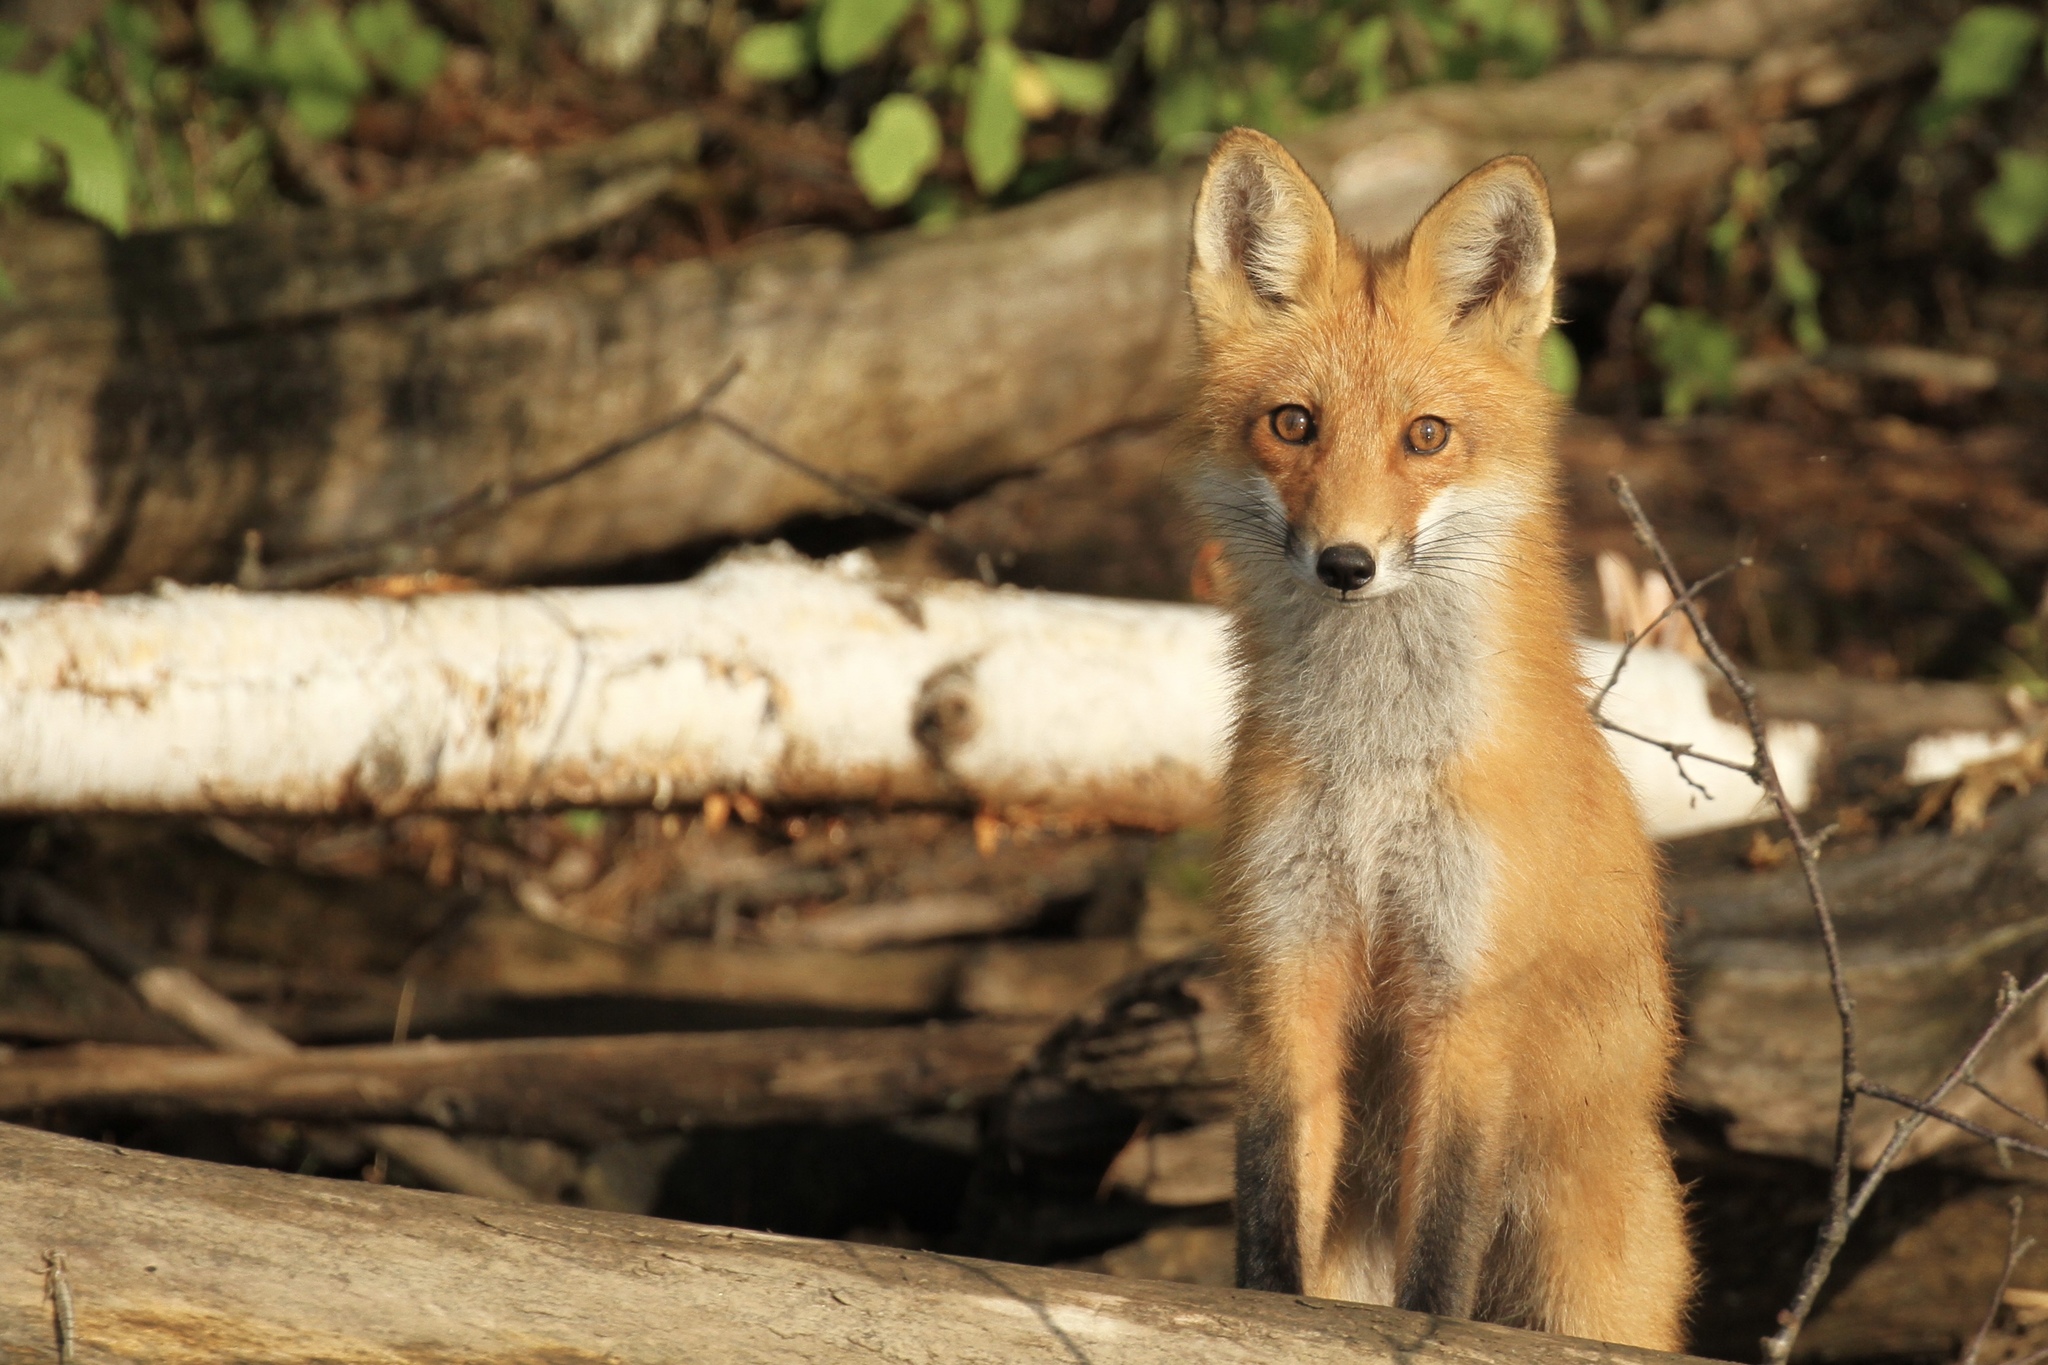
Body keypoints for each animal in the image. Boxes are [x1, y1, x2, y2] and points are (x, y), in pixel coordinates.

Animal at [1196, 133, 1687, 1350]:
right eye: (1292, 423)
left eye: (1426, 437)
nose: (1346, 563)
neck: (1373, 769)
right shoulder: (1288, 963)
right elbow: (1267, 1202)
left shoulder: (1466, 994)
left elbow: (1444, 1246)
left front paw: (1430, 1332)